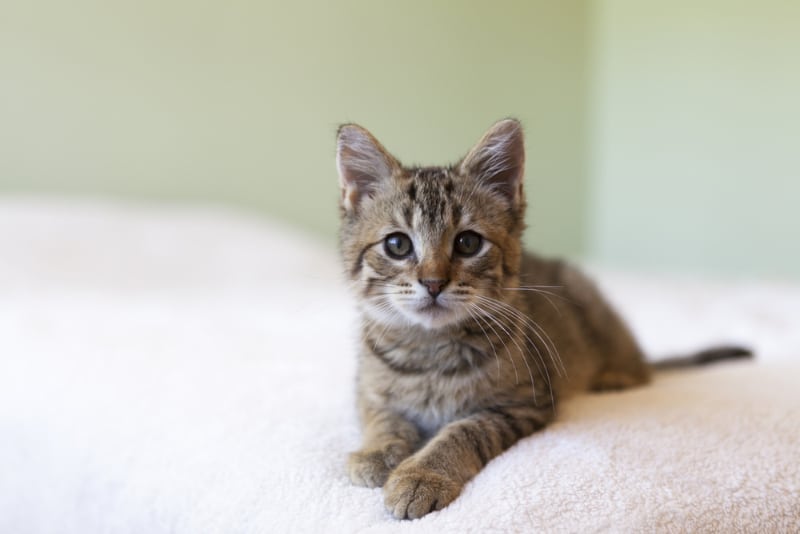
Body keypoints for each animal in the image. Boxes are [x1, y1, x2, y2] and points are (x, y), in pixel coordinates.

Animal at [336, 118, 752, 520]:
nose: (434, 282)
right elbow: (382, 418)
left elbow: (464, 431)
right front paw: (378, 451)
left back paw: (615, 375)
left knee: (639, 366)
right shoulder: (367, 389)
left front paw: (423, 474)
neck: (430, 349)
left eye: (468, 243)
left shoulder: (523, 403)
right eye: (397, 245)